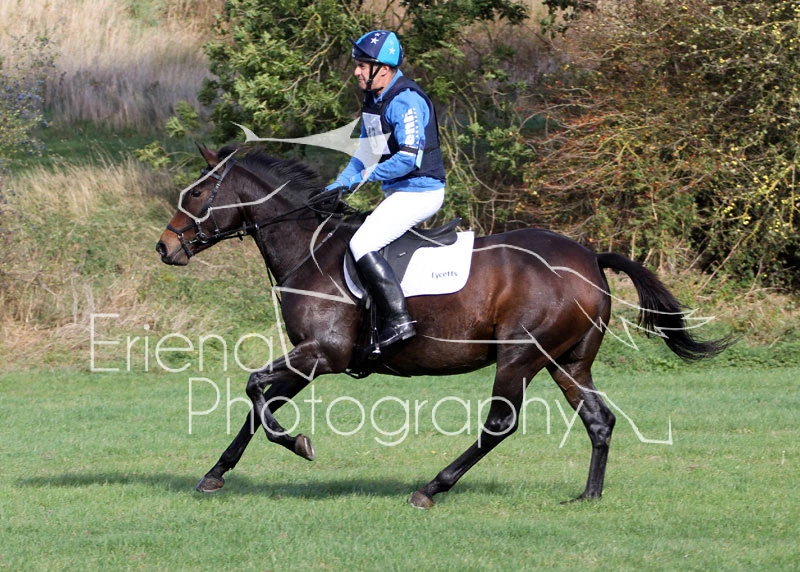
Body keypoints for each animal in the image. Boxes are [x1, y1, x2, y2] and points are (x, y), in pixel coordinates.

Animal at [156, 145, 731, 508]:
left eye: (199, 195)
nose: (164, 248)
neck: (308, 249)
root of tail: (589, 258)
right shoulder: (310, 358)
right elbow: (259, 405)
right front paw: (215, 474)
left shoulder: (323, 354)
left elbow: (255, 389)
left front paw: (298, 444)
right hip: (568, 362)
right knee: (598, 420)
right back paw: (589, 496)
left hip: (520, 357)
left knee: (500, 424)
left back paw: (431, 489)